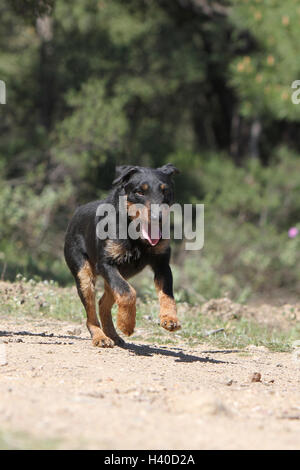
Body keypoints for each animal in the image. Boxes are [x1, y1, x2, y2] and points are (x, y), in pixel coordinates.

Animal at [63, 163, 180, 346]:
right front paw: (126, 325)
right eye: (140, 192)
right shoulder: (106, 264)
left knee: (103, 302)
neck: (135, 235)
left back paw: (112, 334)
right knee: (91, 313)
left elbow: (167, 293)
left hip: (120, 274)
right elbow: (128, 293)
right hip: (84, 275)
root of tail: (76, 212)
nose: (158, 217)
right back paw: (100, 337)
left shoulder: (162, 264)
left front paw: (169, 318)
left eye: (165, 191)